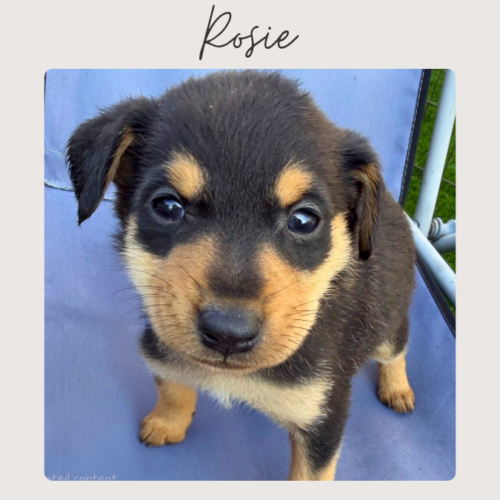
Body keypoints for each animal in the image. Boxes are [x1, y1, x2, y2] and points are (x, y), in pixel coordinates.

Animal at [67, 70, 416, 481]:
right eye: (168, 206)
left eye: (303, 220)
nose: (228, 334)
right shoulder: (162, 345)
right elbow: (172, 386)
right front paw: (167, 423)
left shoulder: (323, 414)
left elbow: (308, 474)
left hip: (388, 323)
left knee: (397, 351)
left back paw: (398, 390)